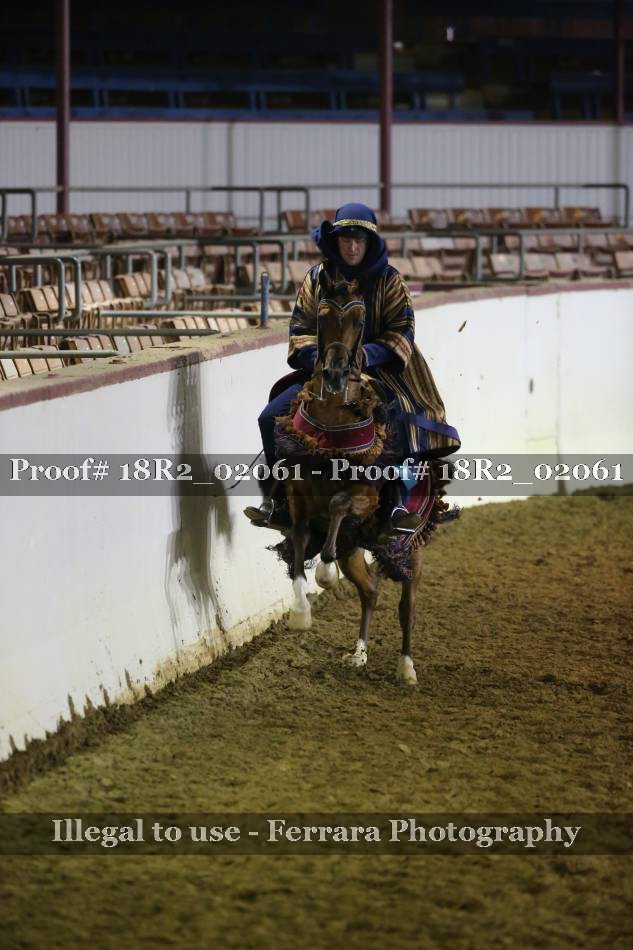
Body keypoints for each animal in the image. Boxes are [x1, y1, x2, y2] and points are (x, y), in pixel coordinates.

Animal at [266, 274, 453, 686]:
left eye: (360, 316)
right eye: (322, 313)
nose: (335, 375)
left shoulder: (364, 496)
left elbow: (338, 503)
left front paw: (324, 573)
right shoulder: (297, 494)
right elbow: (299, 537)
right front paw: (300, 611)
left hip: (409, 551)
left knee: (406, 606)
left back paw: (406, 668)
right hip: (354, 547)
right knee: (370, 591)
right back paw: (359, 653)